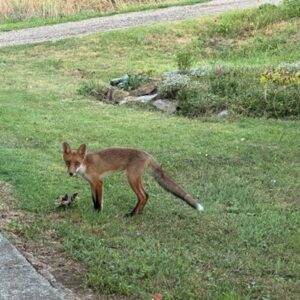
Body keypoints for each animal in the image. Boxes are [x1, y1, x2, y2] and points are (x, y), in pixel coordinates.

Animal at [62, 143, 205, 216]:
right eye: (68, 162)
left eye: (77, 163)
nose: (70, 173)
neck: (85, 164)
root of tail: (148, 154)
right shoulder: (91, 183)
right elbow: (94, 200)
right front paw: (94, 210)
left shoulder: (98, 182)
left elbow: (99, 201)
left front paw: (98, 213)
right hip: (136, 179)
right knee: (146, 195)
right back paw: (139, 212)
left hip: (131, 179)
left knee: (142, 196)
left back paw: (132, 214)